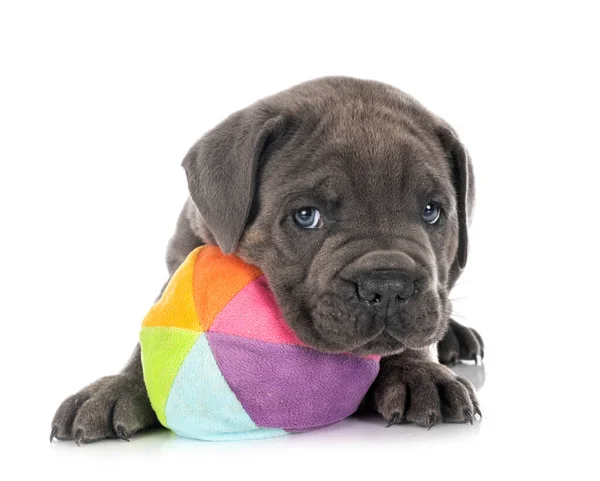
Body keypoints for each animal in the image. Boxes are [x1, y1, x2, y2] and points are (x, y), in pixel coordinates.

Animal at [50, 76, 482, 442]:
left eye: (431, 211)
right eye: (306, 216)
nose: (389, 286)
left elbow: (411, 342)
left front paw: (420, 372)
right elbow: (147, 344)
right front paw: (115, 388)